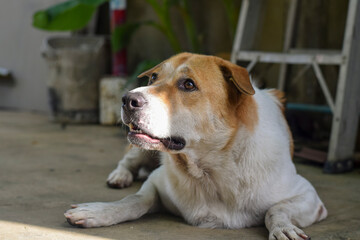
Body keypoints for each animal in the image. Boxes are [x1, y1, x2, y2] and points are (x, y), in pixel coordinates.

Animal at [64, 53, 326, 240]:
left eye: (188, 85)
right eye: (153, 78)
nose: (127, 99)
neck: (208, 169)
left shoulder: (309, 196)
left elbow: (276, 210)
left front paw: (283, 228)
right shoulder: (156, 182)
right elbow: (134, 200)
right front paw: (99, 212)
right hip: (140, 149)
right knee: (127, 161)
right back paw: (120, 176)